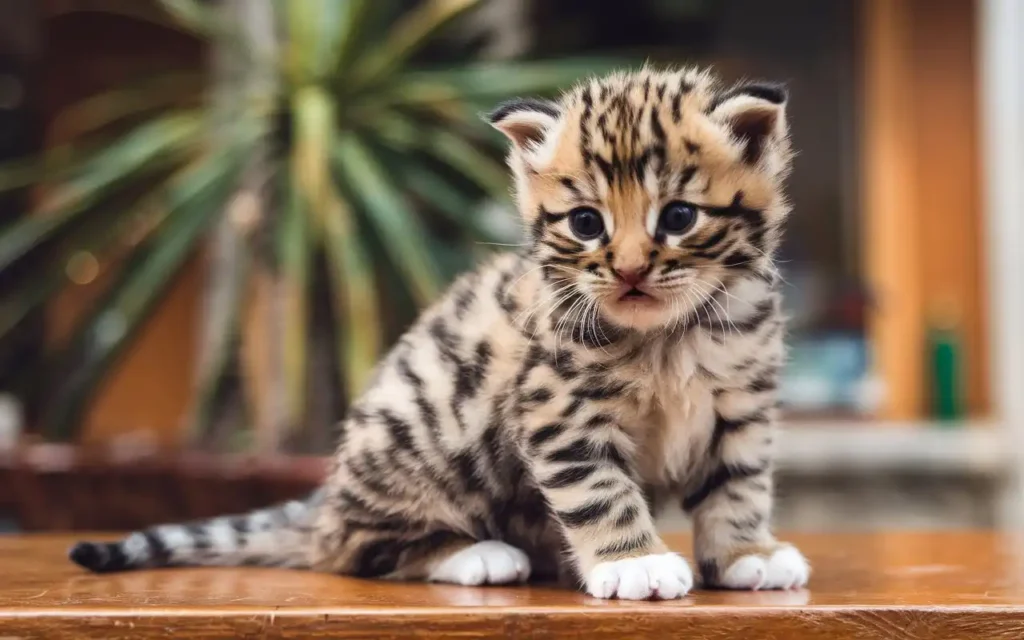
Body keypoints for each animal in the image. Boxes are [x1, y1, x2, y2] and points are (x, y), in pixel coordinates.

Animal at [70, 67, 806, 602]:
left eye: (678, 217)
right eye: (587, 223)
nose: (627, 271)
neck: (672, 335)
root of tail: (328, 500)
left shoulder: (742, 405)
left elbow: (739, 484)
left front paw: (748, 553)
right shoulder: (559, 411)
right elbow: (599, 490)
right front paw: (635, 564)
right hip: (419, 432)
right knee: (353, 549)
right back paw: (477, 555)